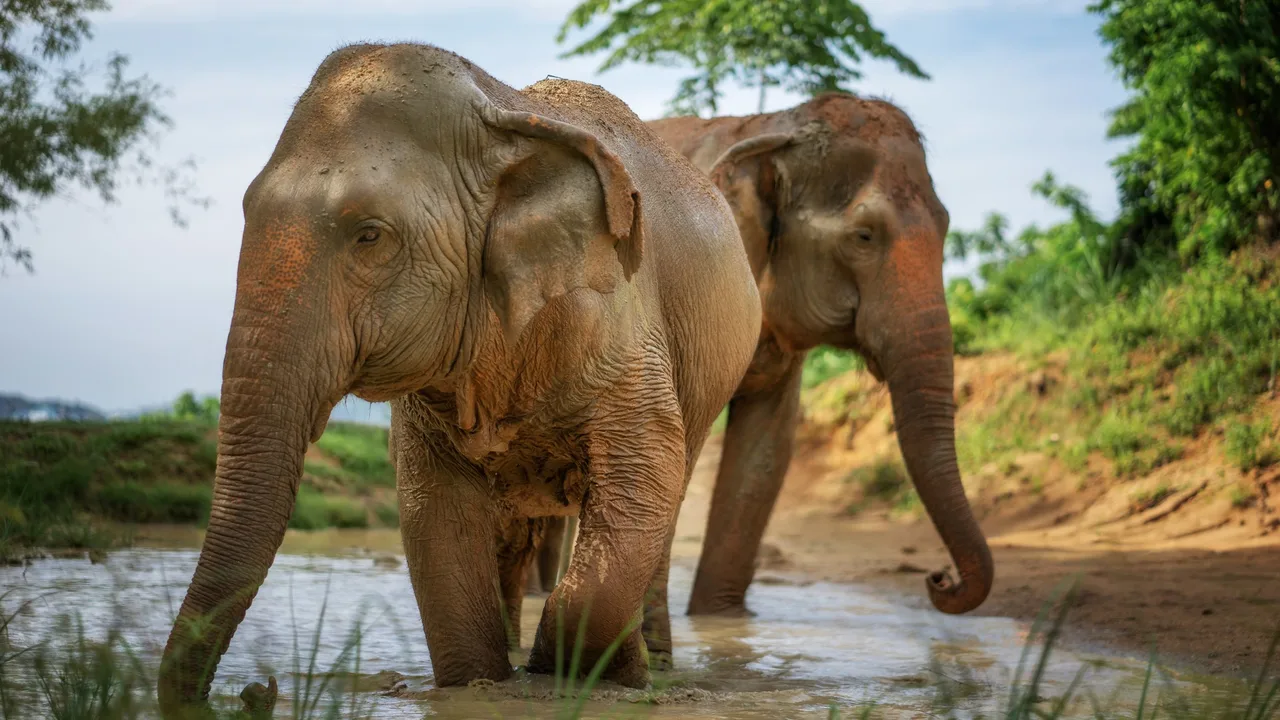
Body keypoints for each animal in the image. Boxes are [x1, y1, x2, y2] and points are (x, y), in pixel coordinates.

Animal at [156, 43, 761, 717]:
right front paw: (483, 684)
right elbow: (434, 508)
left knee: (665, 498)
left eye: (369, 235)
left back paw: (643, 671)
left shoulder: (617, 309)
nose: (255, 690)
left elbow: (644, 477)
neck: (499, 114)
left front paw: (568, 680)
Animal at [534, 93, 994, 628]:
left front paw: (723, 623)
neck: (776, 127)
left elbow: (768, 446)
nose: (938, 579)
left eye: (946, 226)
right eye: (864, 236)